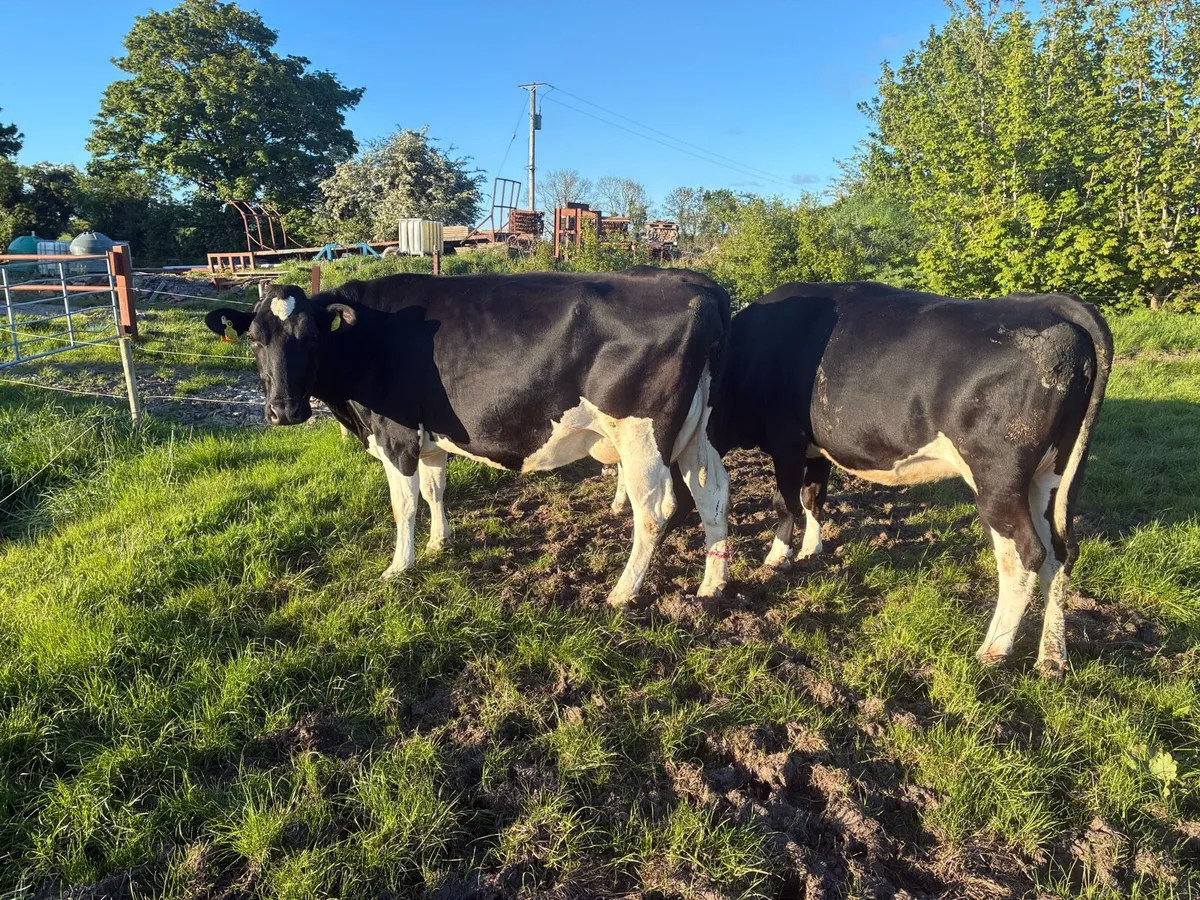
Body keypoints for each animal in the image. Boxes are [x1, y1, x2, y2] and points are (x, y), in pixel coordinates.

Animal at [204, 269, 732, 609]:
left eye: (311, 338)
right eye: (255, 339)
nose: (284, 411)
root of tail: (698, 285)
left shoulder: (396, 436)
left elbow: (404, 505)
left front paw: (399, 567)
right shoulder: (430, 435)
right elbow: (434, 490)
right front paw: (439, 544)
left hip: (642, 434)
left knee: (656, 511)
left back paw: (623, 593)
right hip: (696, 430)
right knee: (713, 493)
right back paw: (713, 585)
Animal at [636, 282, 1112, 678]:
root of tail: (1054, 304)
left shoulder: (786, 440)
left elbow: (784, 501)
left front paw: (777, 557)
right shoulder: (816, 448)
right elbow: (813, 498)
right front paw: (811, 550)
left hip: (998, 476)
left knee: (1025, 555)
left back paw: (992, 650)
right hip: (1052, 476)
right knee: (1060, 554)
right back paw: (1052, 658)